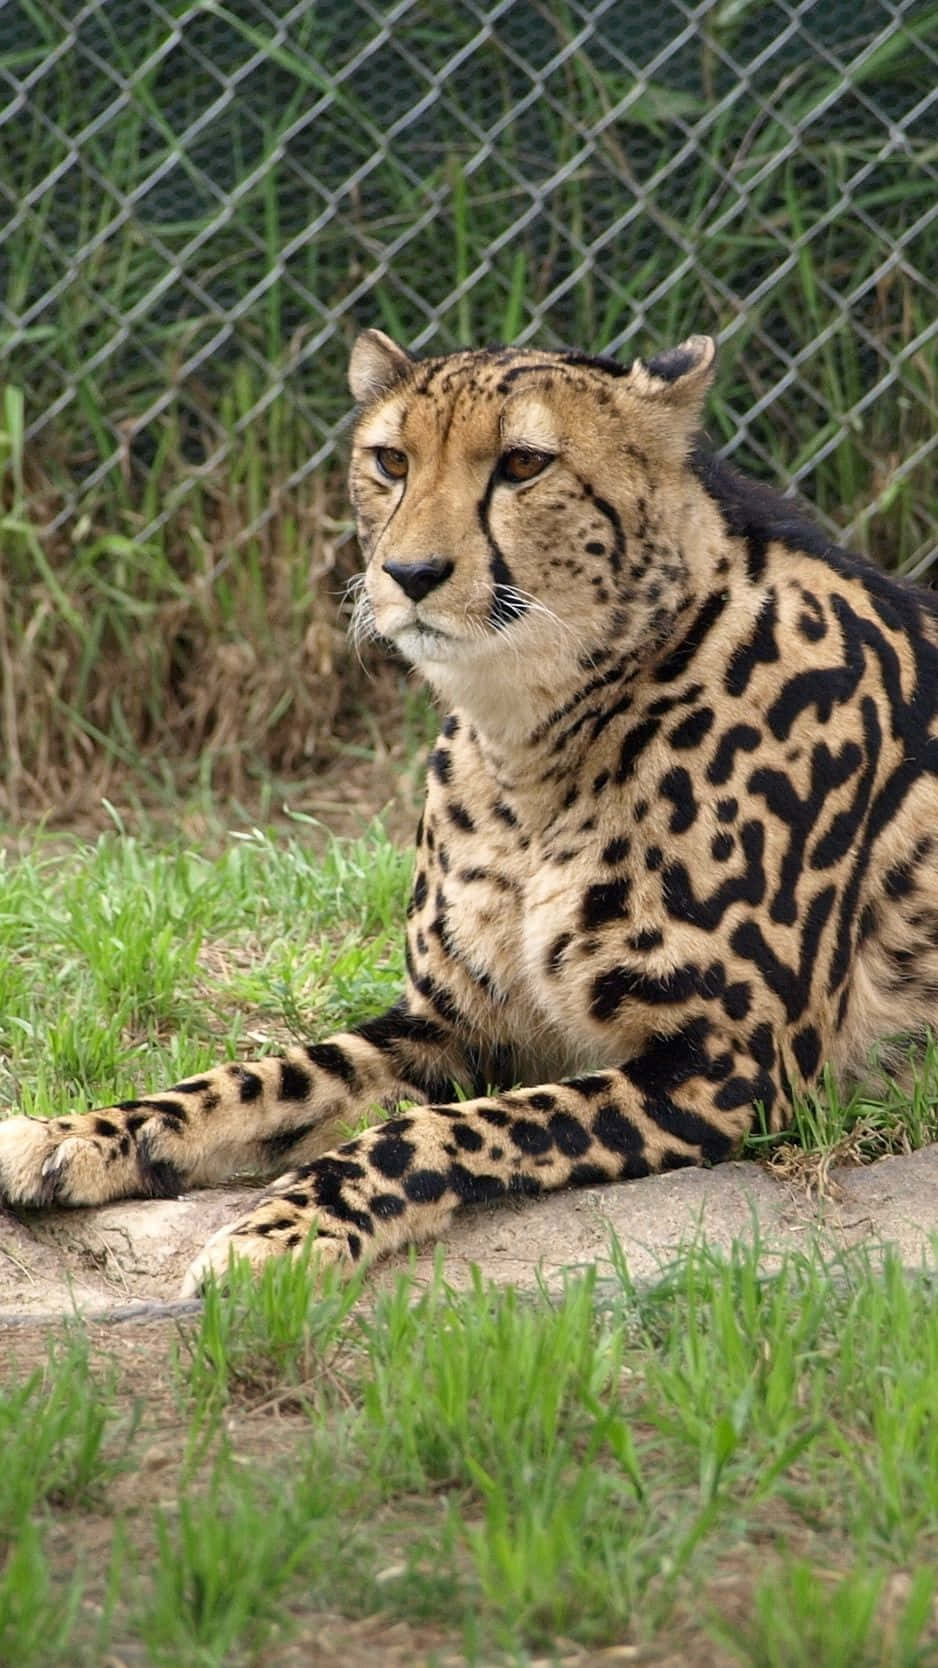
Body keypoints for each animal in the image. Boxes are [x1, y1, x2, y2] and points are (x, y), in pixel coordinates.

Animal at [1, 325, 934, 1287]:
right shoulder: (456, 1023)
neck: (536, 743)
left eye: (524, 463)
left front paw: (286, 1231)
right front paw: (75, 1132)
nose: (409, 573)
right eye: (391, 460)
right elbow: (268, 1075)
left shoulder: (731, 1066)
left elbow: (441, 1130)